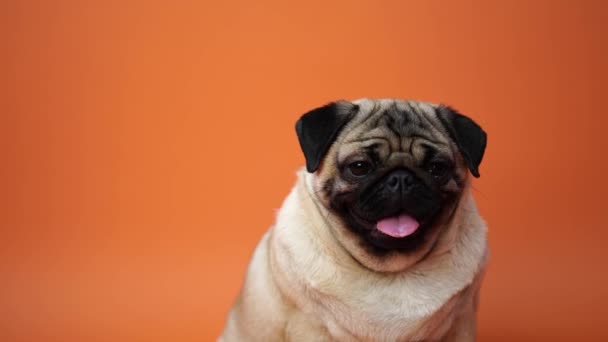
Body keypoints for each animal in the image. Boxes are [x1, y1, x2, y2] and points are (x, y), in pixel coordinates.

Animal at [218, 99, 490, 342]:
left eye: (437, 168)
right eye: (359, 167)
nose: (401, 178)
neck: (390, 270)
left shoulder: (461, 322)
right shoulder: (310, 327)